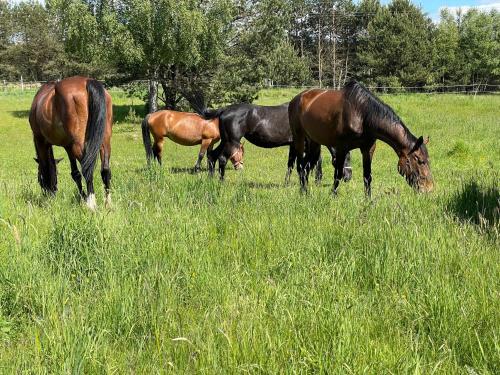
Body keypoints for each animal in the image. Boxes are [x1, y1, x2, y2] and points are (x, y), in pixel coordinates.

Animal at [28, 75, 113, 212]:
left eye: (39, 177)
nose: (51, 193)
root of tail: (87, 81)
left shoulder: (41, 141)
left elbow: (46, 167)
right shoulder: (68, 146)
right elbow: (75, 174)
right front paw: (82, 197)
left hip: (79, 145)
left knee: (87, 170)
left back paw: (91, 204)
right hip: (104, 142)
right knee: (105, 170)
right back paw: (108, 204)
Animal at [187, 98, 352, 184]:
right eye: (347, 158)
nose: (348, 177)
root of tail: (224, 110)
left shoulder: (293, 145)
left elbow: (291, 164)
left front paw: (287, 182)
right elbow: (312, 161)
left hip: (225, 140)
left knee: (212, 156)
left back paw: (211, 179)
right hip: (232, 141)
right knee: (221, 158)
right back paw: (221, 181)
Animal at [290, 80, 434, 195]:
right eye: (420, 161)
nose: (428, 188)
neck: (362, 114)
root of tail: (296, 99)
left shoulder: (368, 148)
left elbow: (367, 176)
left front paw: (368, 200)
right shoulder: (341, 148)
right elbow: (338, 174)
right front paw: (333, 196)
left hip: (314, 143)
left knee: (306, 167)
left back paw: (305, 192)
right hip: (299, 139)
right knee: (300, 166)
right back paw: (303, 193)